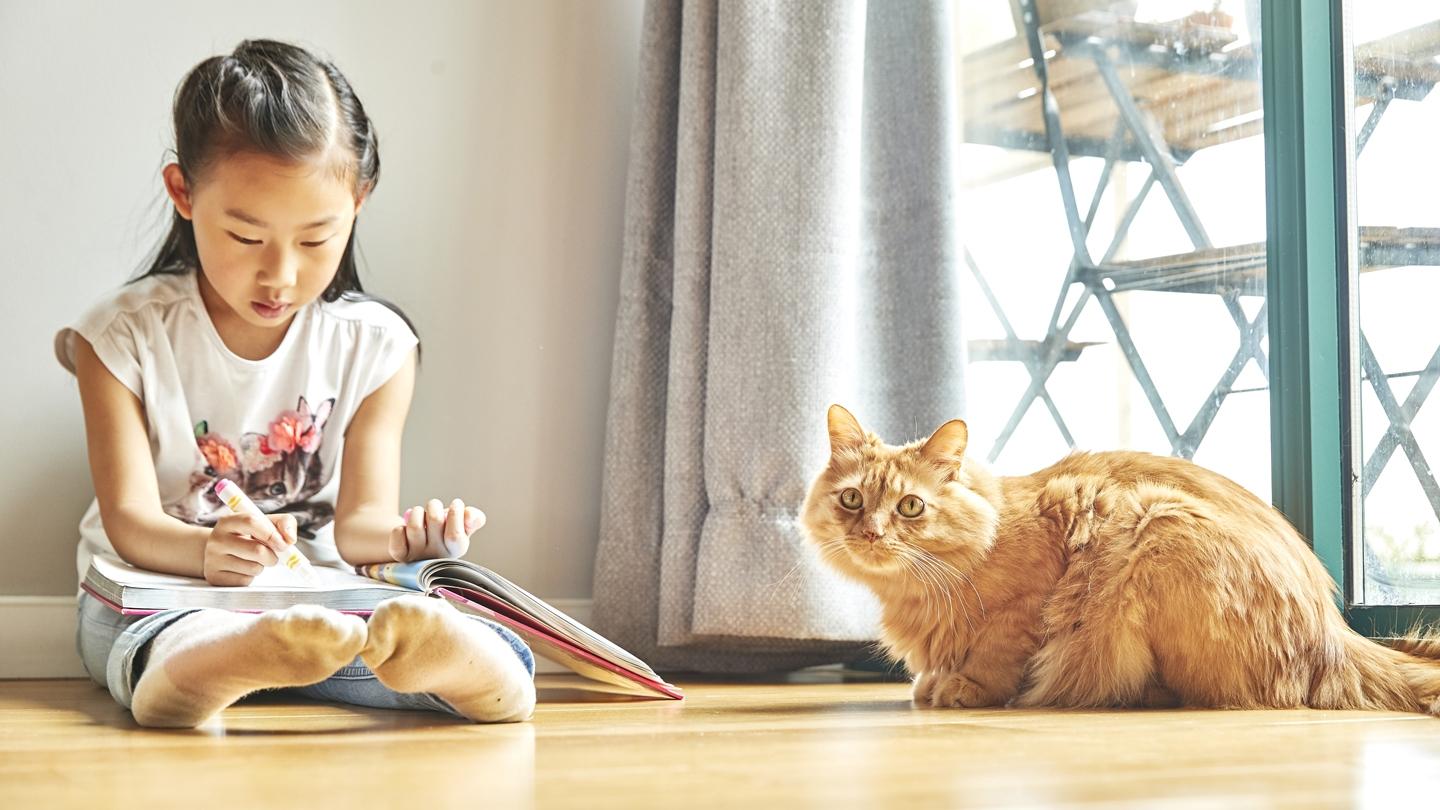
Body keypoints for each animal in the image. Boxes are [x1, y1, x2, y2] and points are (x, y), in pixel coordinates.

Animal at [800, 403, 1440, 711]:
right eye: (852, 499)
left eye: (910, 507)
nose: (872, 533)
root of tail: (1336, 633)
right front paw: (933, 681)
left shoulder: (1029, 599)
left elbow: (997, 653)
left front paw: (966, 688)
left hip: (1153, 524)